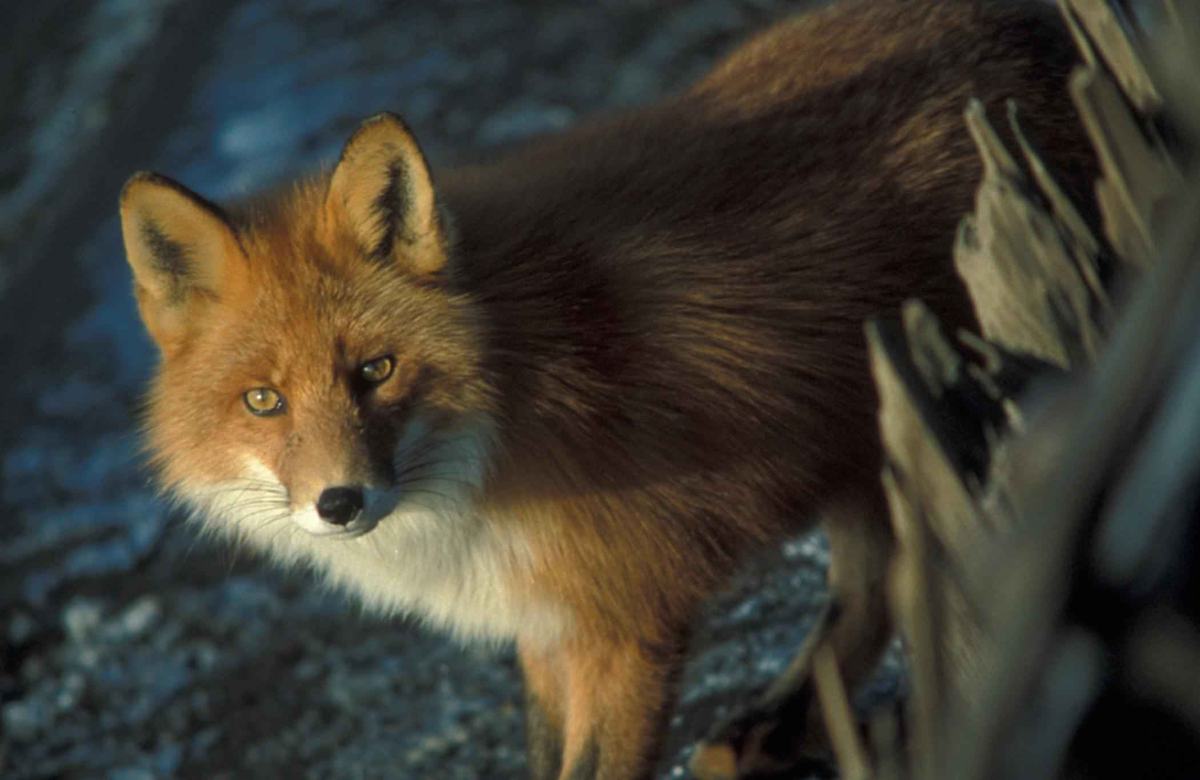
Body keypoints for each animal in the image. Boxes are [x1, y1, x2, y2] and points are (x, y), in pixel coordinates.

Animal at [117, 0, 1094, 777]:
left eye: (376, 370)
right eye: (263, 401)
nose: (339, 502)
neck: (506, 418)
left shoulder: (626, 620)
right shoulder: (549, 624)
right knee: (877, 578)